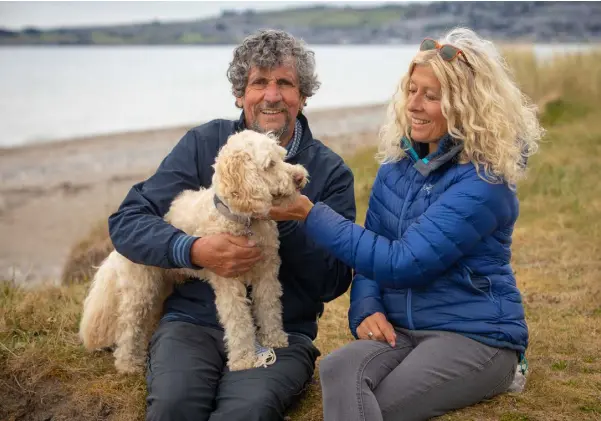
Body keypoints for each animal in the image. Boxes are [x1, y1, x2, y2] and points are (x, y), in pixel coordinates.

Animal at [79, 130, 310, 372]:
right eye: (270, 164)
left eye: (282, 157)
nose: (299, 177)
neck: (243, 220)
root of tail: (115, 248)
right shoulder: (228, 279)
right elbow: (238, 321)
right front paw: (244, 359)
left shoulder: (266, 273)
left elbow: (269, 307)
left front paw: (274, 339)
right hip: (140, 289)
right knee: (128, 326)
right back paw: (128, 364)